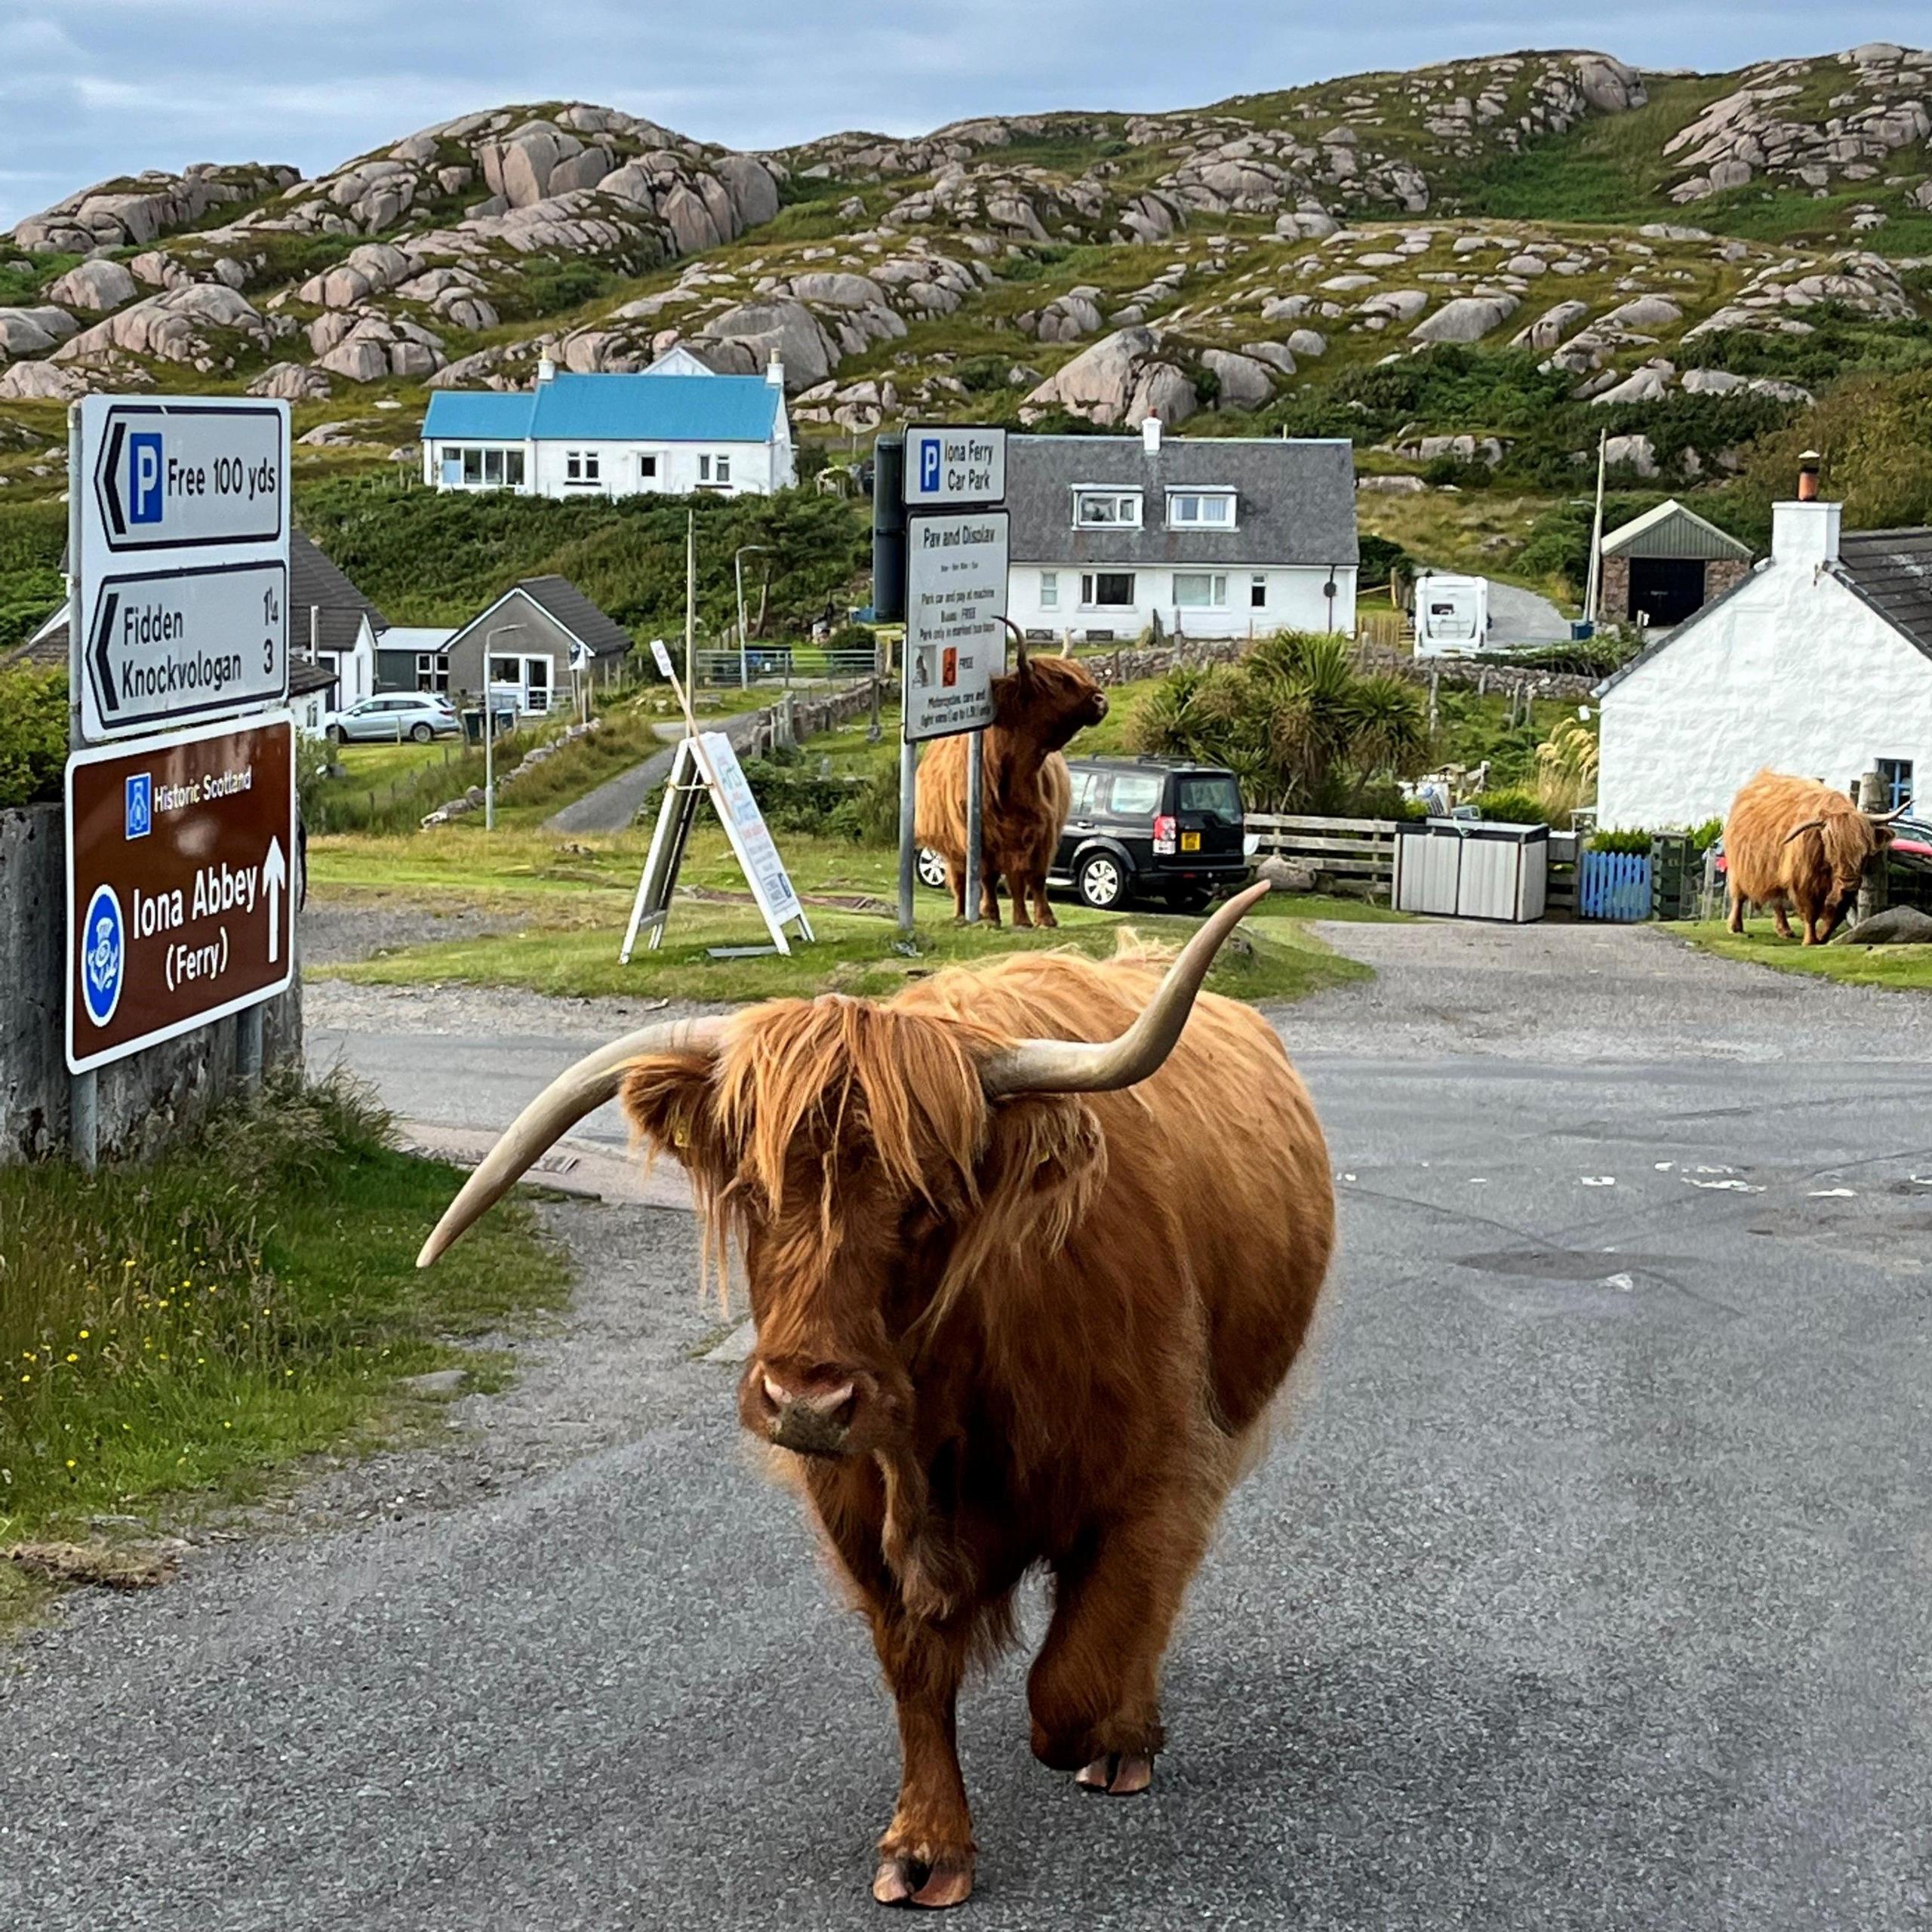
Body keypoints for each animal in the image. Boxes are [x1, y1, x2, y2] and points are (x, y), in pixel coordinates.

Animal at [415, 884, 1337, 1901]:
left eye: (930, 1198)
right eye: (751, 1186)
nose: (806, 1398)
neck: (947, 1409)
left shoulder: (1157, 1473)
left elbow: (1073, 1681)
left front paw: (1110, 1734)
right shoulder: (853, 1503)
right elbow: (916, 1674)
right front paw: (925, 1845)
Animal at [915, 641, 1112, 927]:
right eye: (1059, 679)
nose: (1101, 700)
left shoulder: (1042, 831)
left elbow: (1031, 877)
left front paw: (1038, 919)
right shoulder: (978, 834)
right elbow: (987, 876)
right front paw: (991, 915)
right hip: (952, 845)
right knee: (960, 879)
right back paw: (961, 915)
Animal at [1730, 773, 1909, 946]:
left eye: (1864, 851)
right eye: (1833, 847)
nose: (1850, 882)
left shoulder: (1846, 892)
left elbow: (1836, 914)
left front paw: (1822, 937)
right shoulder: (1805, 882)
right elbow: (1811, 913)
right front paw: (1810, 941)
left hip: (1774, 873)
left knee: (1777, 901)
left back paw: (1785, 931)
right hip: (1739, 867)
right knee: (1739, 896)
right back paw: (1735, 927)